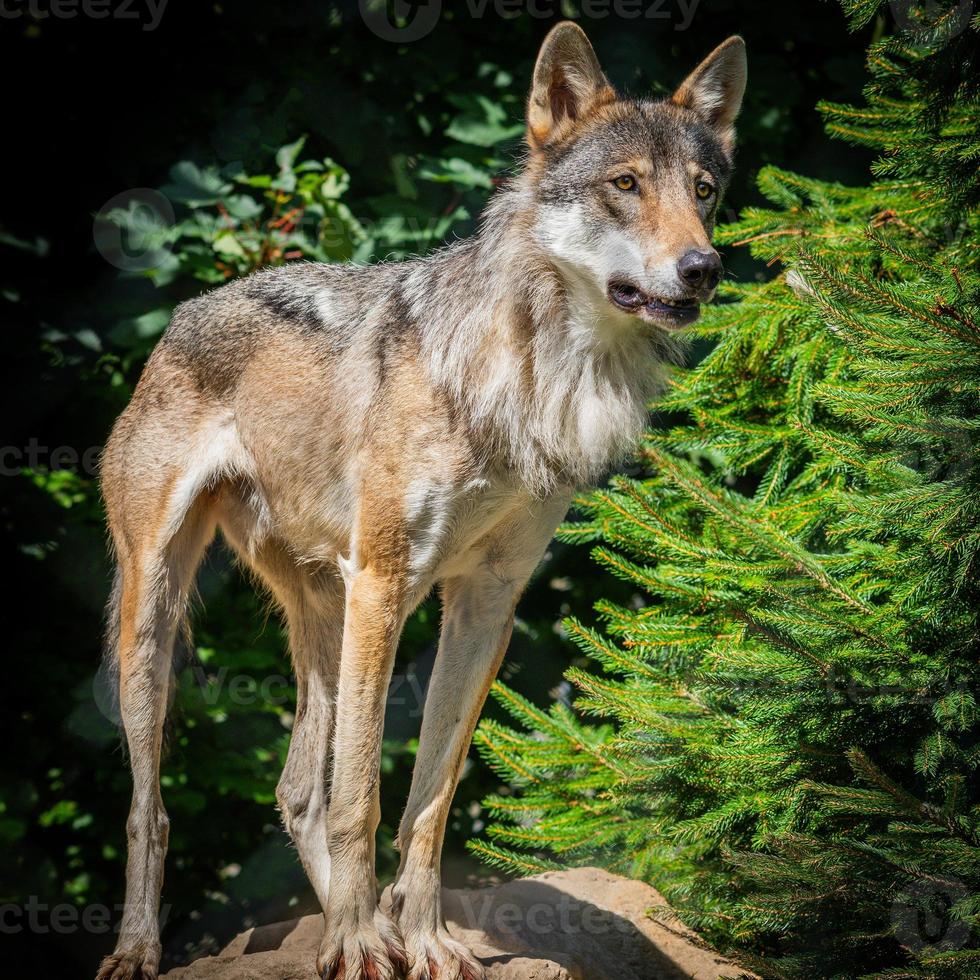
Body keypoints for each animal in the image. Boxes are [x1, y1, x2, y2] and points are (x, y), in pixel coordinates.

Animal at [97, 23, 744, 980]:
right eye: (625, 185)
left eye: (703, 192)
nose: (704, 268)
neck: (542, 378)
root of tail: (188, 311)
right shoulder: (388, 583)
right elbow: (364, 794)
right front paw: (363, 943)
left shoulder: (486, 601)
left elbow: (430, 797)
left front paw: (422, 938)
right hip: (159, 617)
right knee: (153, 805)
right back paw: (149, 947)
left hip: (325, 613)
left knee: (297, 788)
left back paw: (356, 924)